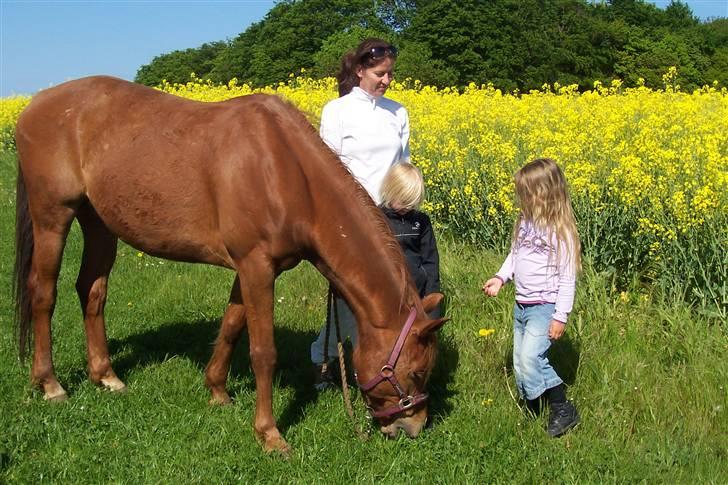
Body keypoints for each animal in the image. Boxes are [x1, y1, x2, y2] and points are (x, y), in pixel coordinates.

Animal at [14, 74, 446, 450]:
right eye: (416, 371)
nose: (413, 428)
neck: (286, 171)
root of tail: (35, 103)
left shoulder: (250, 269)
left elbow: (231, 327)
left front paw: (217, 390)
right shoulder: (256, 267)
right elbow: (263, 352)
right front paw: (269, 434)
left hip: (100, 224)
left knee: (92, 291)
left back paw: (106, 376)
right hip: (53, 216)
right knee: (44, 294)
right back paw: (50, 383)